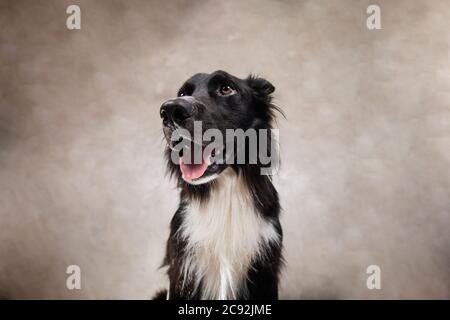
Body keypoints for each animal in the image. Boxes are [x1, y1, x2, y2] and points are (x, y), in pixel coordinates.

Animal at [155, 70, 282, 300]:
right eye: (183, 93)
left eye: (226, 88)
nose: (170, 110)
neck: (226, 191)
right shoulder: (182, 271)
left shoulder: (264, 269)